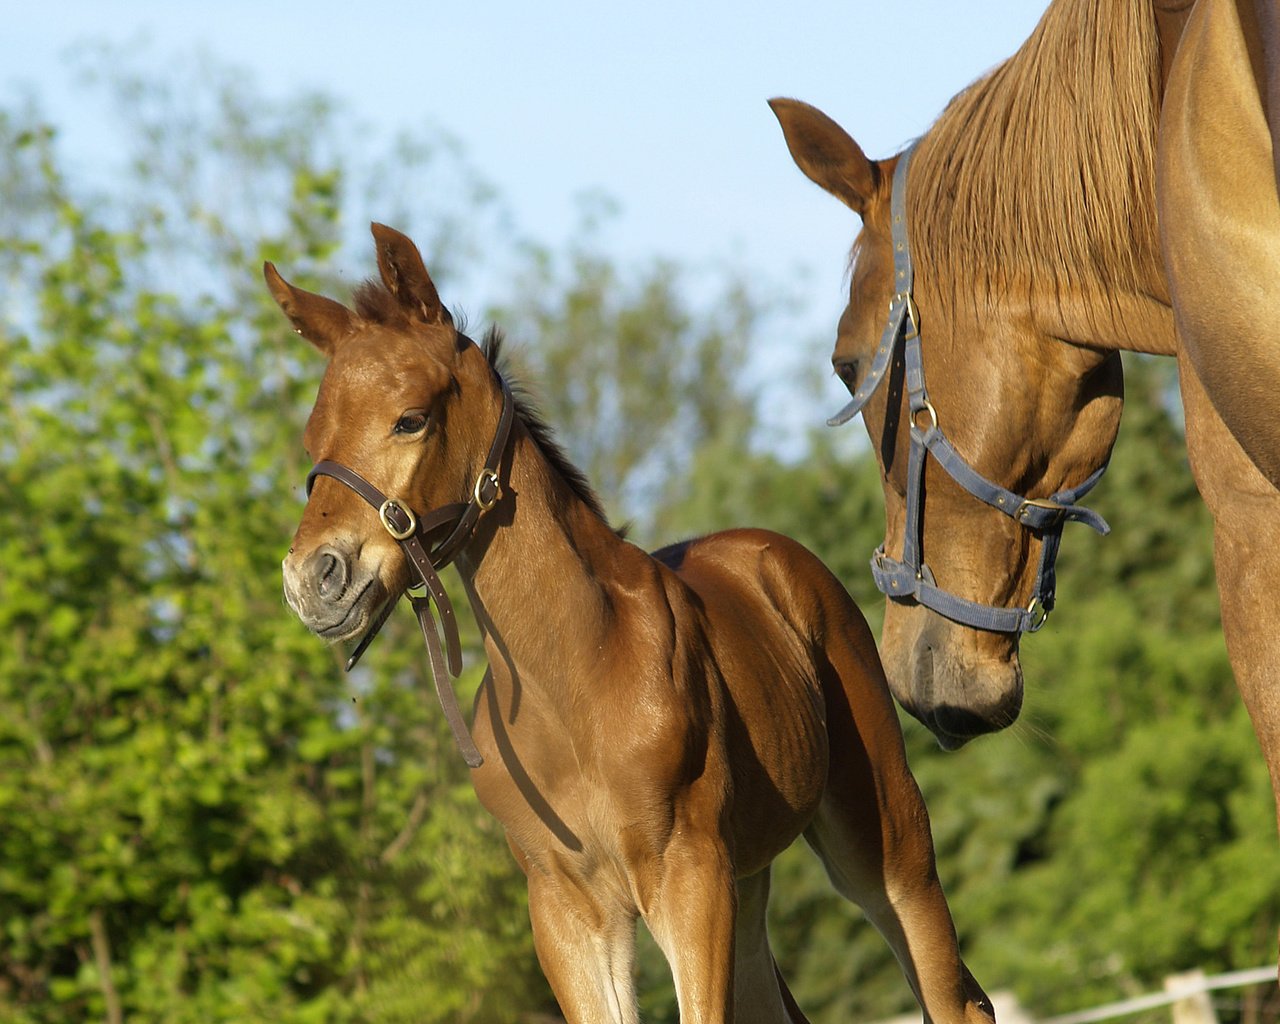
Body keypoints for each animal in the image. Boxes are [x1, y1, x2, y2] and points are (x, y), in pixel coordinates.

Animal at [272, 224, 998, 1024]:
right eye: (312, 438)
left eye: (411, 418)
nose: (314, 578)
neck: (573, 681)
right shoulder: (566, 906)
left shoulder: (688, 873)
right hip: (749, 881)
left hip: (885, 839)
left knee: (956, 996)